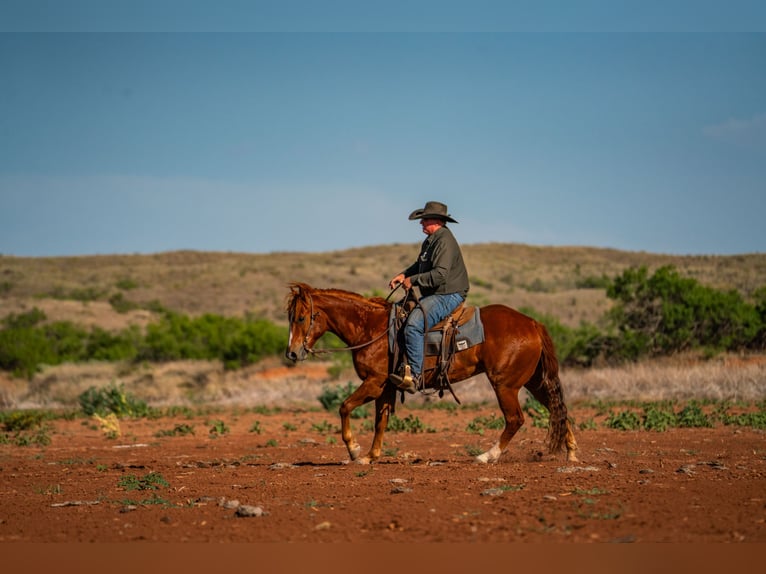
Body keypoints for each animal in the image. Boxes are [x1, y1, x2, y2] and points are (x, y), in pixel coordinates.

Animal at [285, 282, 578, 465]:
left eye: (300, 317)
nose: (292, 353)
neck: (371, 328)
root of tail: (532, 323)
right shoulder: (386, 387)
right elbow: (381, 421)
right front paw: (371, 455)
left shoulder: (374, 382)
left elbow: (345, 407)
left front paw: (354, 450)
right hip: (533, 381)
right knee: (557, 408)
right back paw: (572, 453)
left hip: (505, 385)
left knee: (516, 419)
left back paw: (487, 456)